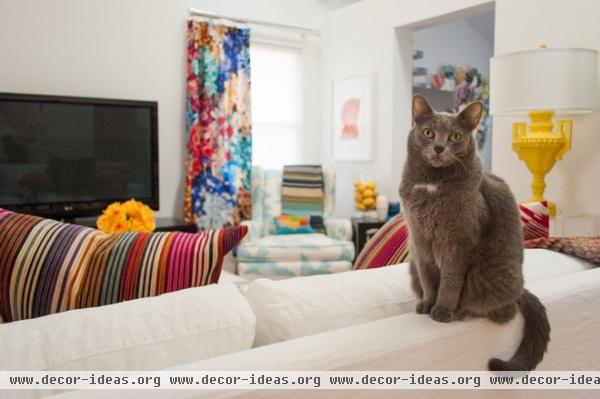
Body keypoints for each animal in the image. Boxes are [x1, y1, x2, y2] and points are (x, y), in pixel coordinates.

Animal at [400, 94, 552, 372]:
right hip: (413, 266)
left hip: (490, 274)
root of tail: (521, 290)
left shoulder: (458, 240)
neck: (432, 184)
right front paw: (428, 304)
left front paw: (442, 310)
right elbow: (428, 279)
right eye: (428, 132)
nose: (439, 147)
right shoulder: (419, 239)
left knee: (503, 311)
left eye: (455, 137)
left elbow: (450, 280)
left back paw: (461, 312)